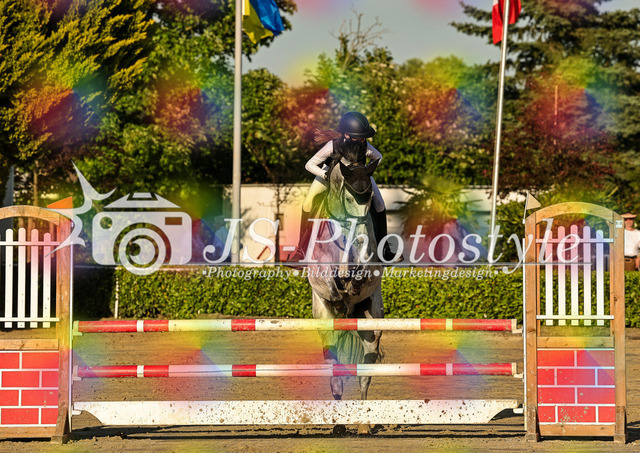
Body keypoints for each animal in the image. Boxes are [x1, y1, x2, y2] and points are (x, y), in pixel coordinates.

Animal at [306, 153, 384, 403]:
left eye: (369, 199)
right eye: (349, 198)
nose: (360, 239)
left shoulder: (370, 263)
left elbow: (361, 273)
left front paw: (352, 287)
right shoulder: (320, 271)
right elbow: (331, 283)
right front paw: (340, 299)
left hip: (372, 322)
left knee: (366, 371)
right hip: (325, 325)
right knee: (334, 370)